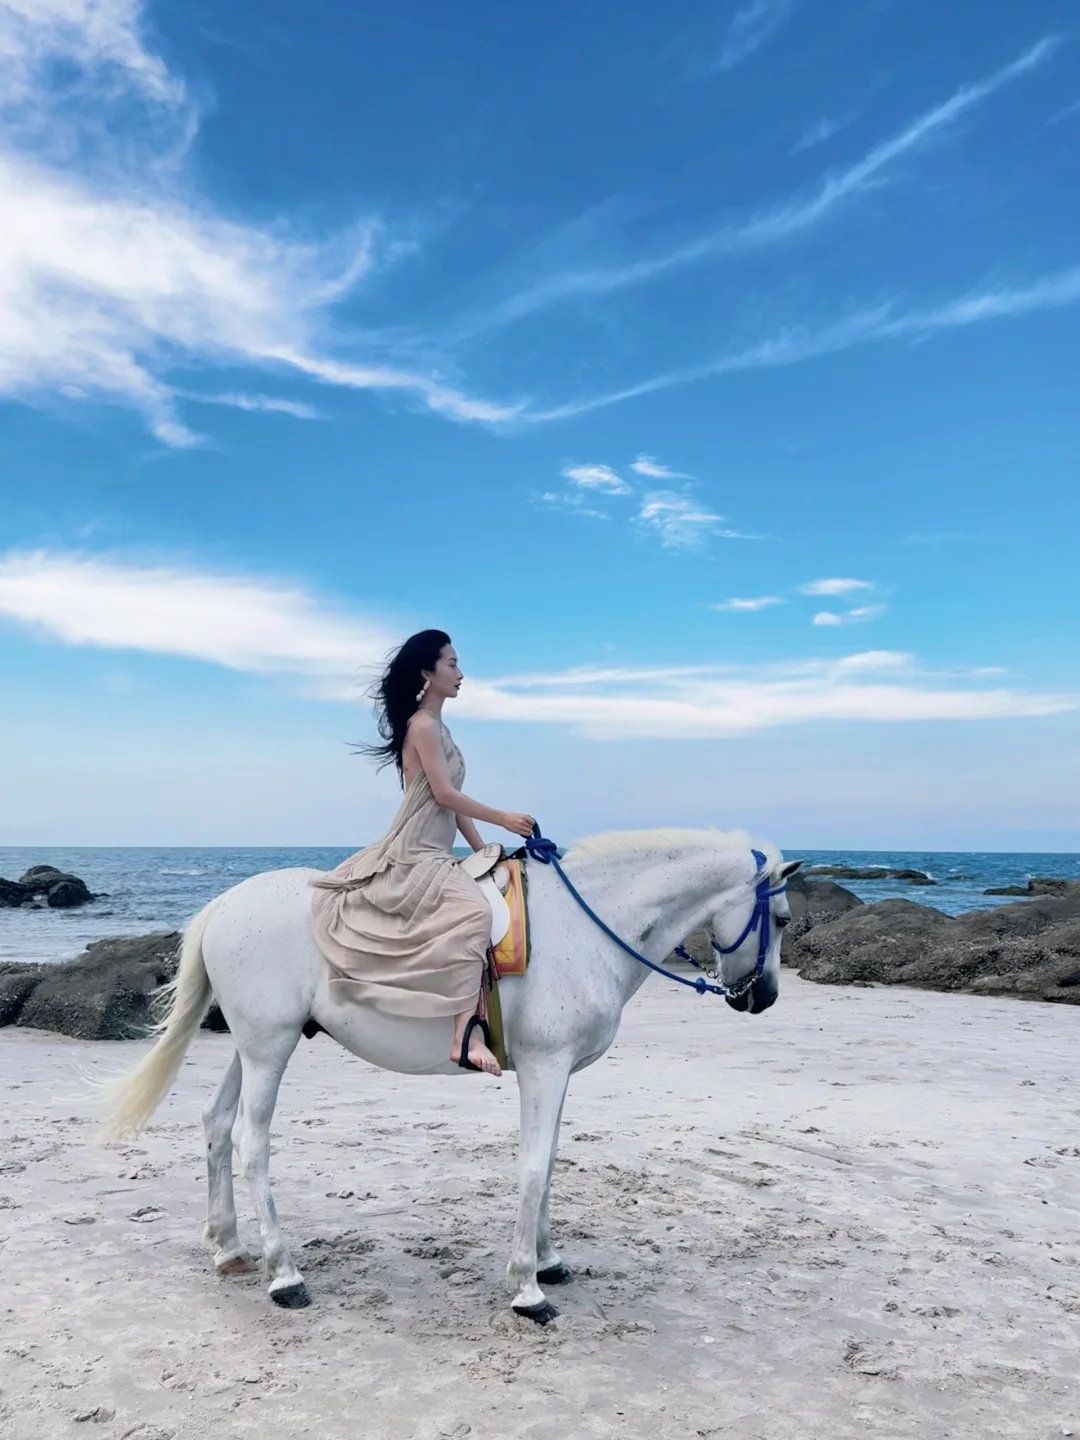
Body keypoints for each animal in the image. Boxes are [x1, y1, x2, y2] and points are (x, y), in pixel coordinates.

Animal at [105, 829, 800, 1319]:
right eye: (787, 919)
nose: (764, 997)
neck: (586, 928)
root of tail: (226, 901)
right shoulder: (544, 1069)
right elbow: (532, 1168)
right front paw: (527, 1289)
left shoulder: (559, 1074)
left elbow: (549, 1163)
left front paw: (549, 1260)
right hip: (269, 1048)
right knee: (252, 1145)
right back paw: (285, 1274)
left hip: (250, 1047)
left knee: (217, 1126)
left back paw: (228, 1247)